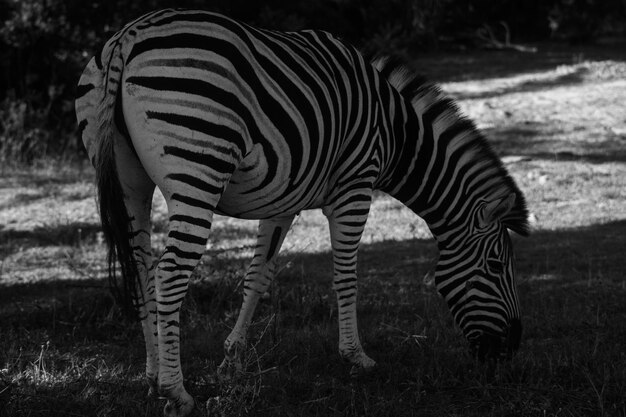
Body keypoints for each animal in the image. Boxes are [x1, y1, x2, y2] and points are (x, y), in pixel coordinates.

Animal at [74, 9, 528, 416]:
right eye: (495, 265)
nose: (511, 350)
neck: (396, 131)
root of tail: (129, 36)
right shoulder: (354, 186)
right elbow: (346, 277)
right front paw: (356, 357)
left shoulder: (281, 199)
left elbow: (257, 277)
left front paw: (232, 358)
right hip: (197, 171)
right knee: (169, 274)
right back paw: (176, 392)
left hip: (130, 181)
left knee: (141, 271)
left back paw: (153, 377)